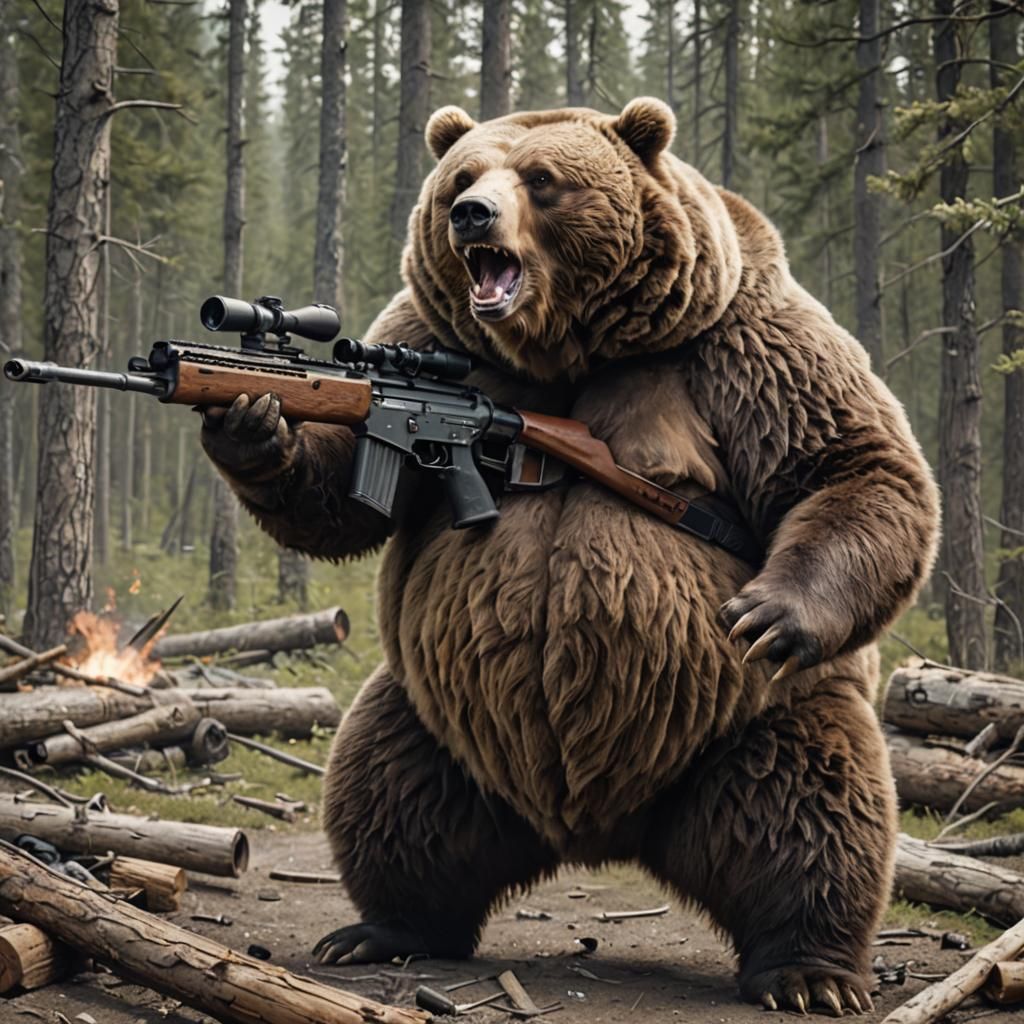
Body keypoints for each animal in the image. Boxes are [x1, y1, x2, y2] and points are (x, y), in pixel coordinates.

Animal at [199, 98, 940, 1016]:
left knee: (810, 812)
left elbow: (851, 461)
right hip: (433, 716)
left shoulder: (744, 337)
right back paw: (380, 929)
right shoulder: (422, 333)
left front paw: (769, 609)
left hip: (764, 717)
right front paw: (252, 424)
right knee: (389, 794)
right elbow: (341, 496)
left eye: (542, 178)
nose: (470, 214)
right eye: (463, 174)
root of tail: (599, 832)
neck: (571, 351)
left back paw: (810, 972)